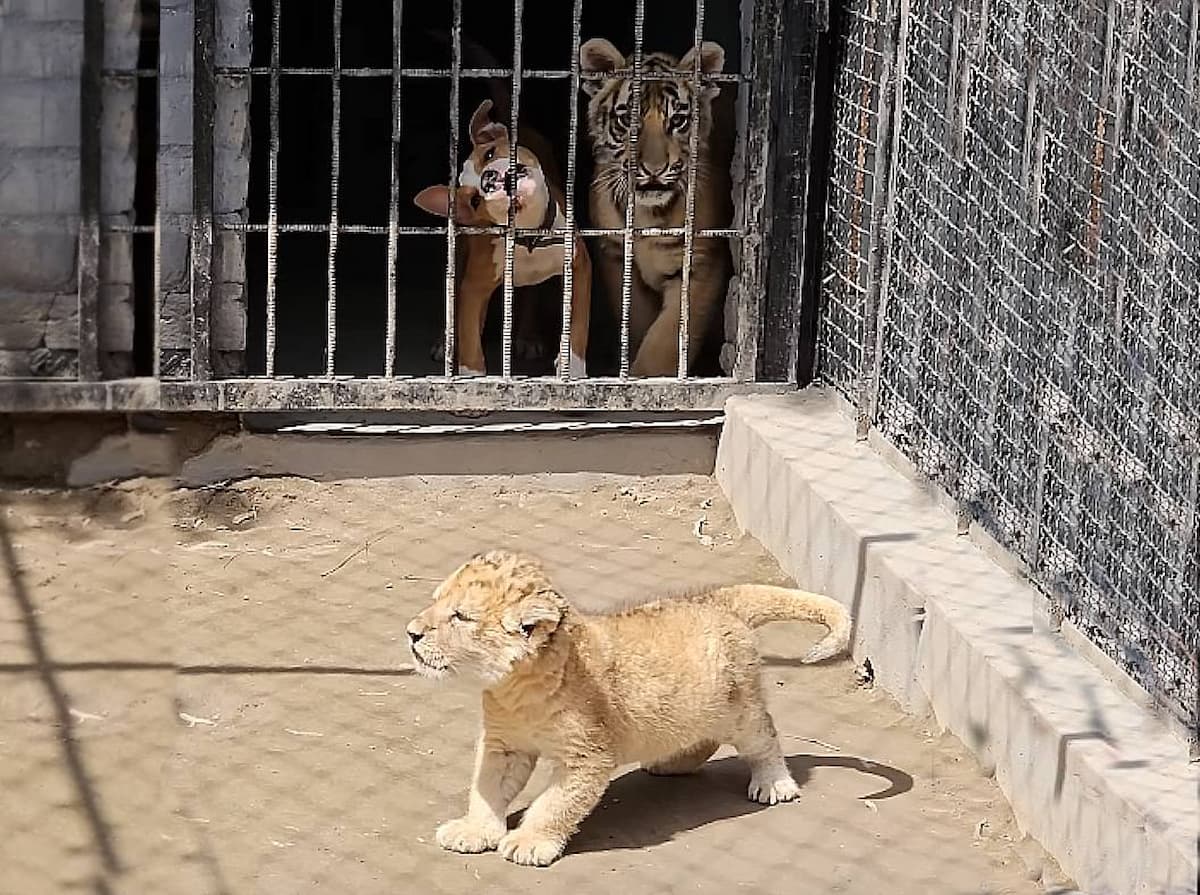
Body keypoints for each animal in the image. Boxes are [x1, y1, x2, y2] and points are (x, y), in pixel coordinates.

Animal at [415, 100, 592, 376]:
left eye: (489, 154)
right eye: (474, 201)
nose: (488, 179)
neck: (528, 236)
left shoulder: (578, 267)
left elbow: (577, 324)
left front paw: (572, 368)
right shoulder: (475, 287)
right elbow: (470, 341)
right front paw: (473, 377)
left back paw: (528, 338)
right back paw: (446, 342)